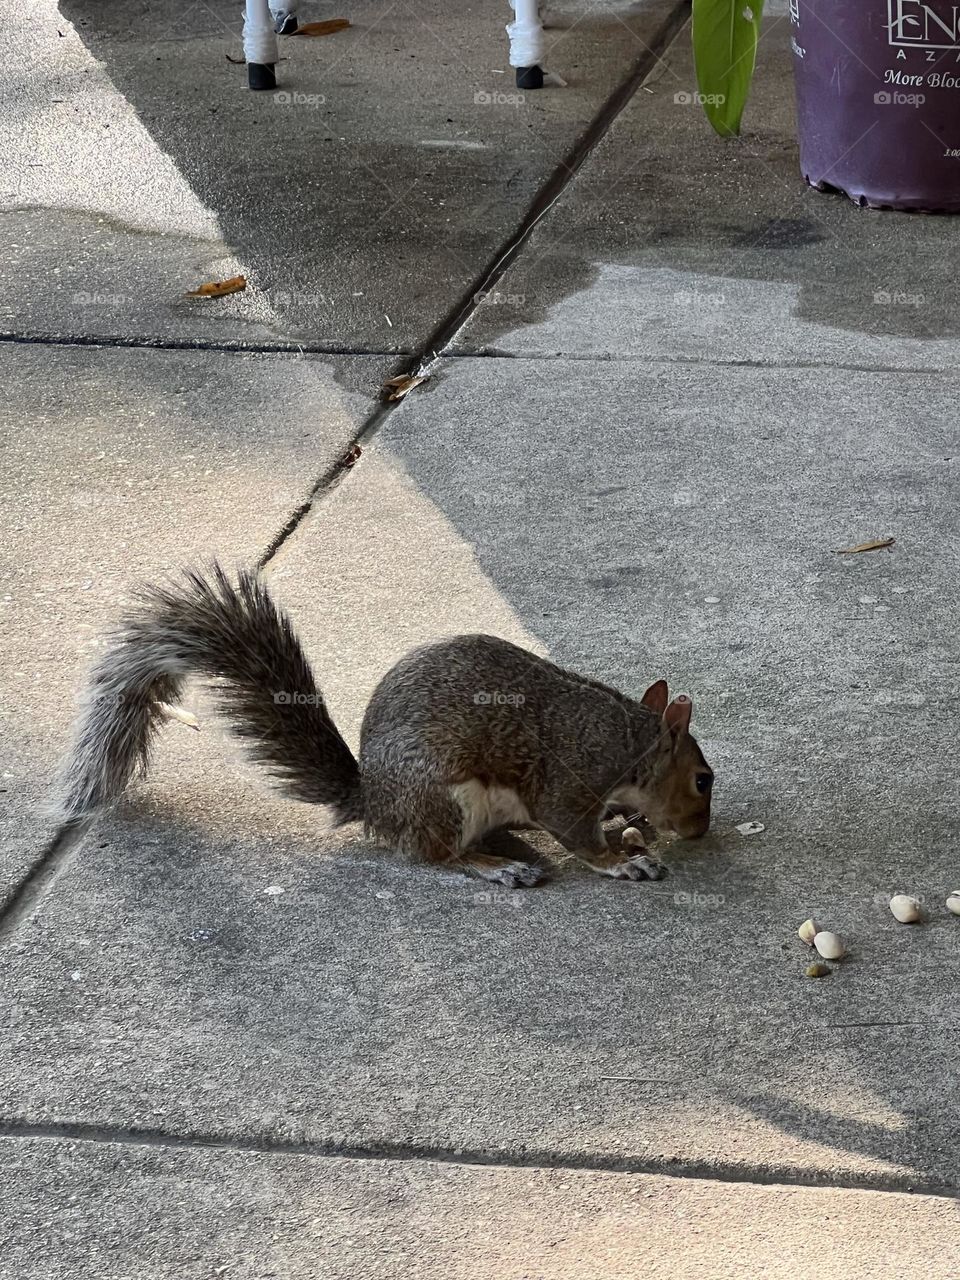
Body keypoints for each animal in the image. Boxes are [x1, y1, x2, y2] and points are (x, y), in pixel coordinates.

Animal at [55, 563, 714, 888]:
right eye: (702, 780)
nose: (701, 832)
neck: (628, 740)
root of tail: (374, 802)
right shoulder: (570, 783)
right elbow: (575, 834)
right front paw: (620, 859)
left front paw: (628, 828)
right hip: (444, 798)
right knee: (433, 855)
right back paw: (495, 866)